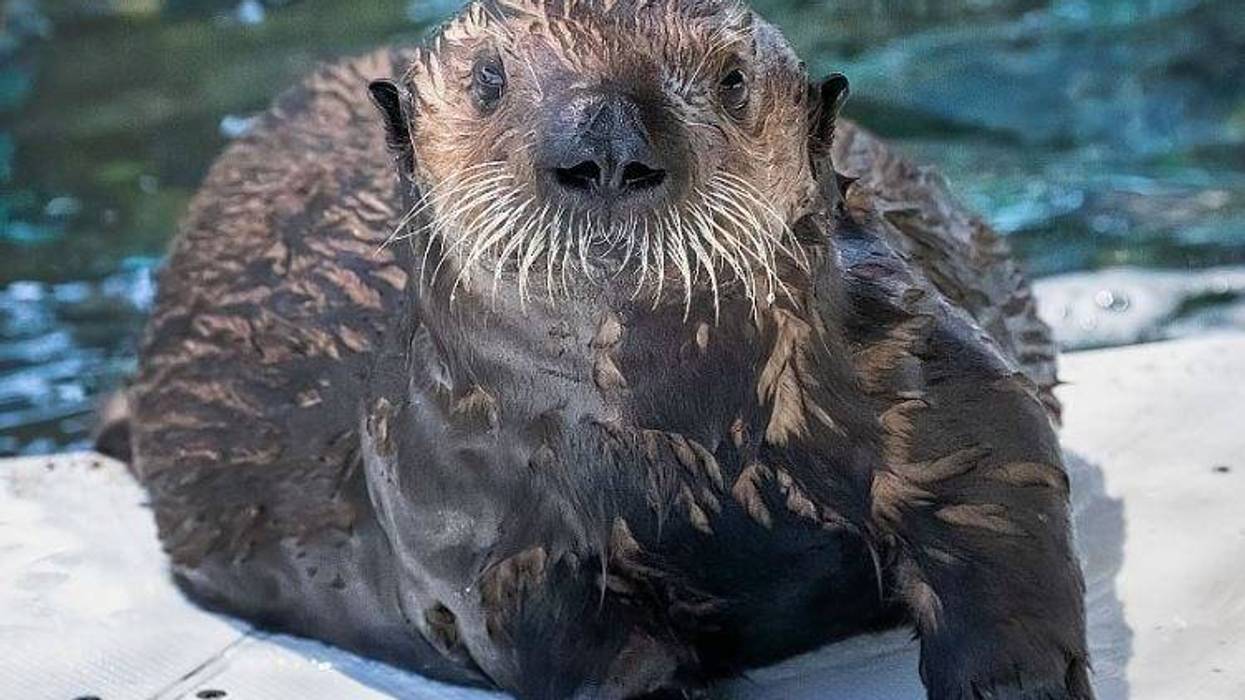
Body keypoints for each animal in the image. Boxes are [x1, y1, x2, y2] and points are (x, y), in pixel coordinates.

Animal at [121, 1, 1089, 698]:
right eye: (489, 77)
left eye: (731, 80)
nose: (606, 144)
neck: (676, 440)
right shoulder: (484, 533)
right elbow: (583, 652)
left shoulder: (908, 360)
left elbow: (997, 506)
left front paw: (1017, 683)